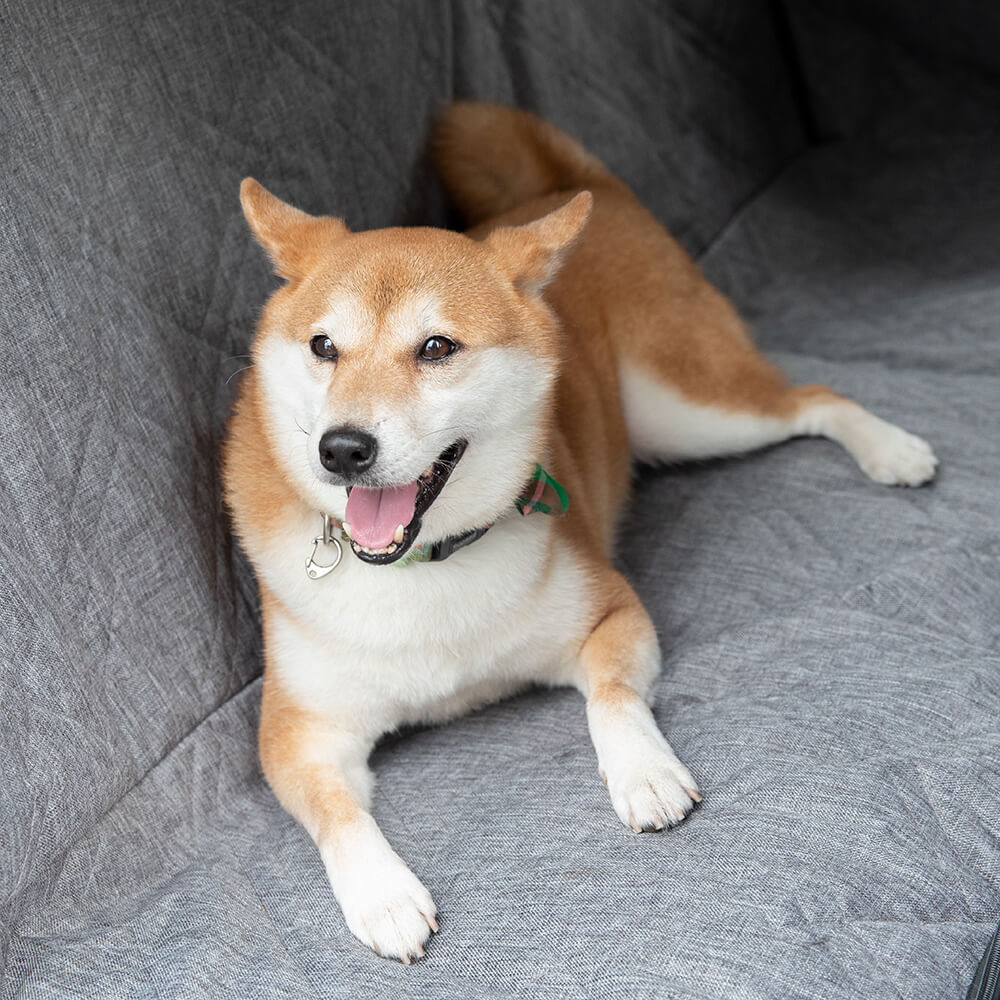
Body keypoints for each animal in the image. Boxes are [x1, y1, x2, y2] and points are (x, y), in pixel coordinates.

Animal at [225, 99, 936, 960]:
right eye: (324, 347)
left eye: (437, 347)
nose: (343, 448)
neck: (424, 566)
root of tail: (566, 186)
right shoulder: (299, 730)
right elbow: (336, 812)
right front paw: (380, 893)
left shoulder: (610, 610)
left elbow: (611, 696)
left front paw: (642, 771)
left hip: (688, 409)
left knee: (817, 400)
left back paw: (892, 449)